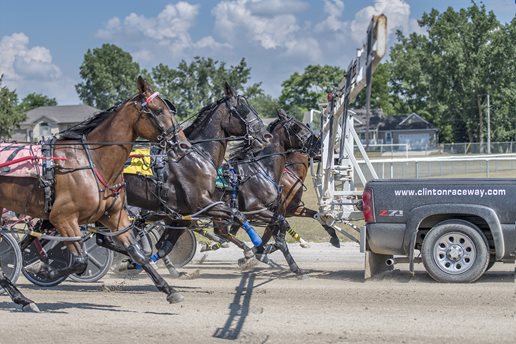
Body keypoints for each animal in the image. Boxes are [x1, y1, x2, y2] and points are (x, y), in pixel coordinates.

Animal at [0, 76, 188, 310]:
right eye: (158, 110)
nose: (182, 143)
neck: (92, 163)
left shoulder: (115, 216)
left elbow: (138, 253)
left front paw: (170, 290)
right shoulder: (62, 218)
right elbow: (80, 261)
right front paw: (43, 269)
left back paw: (21, 297)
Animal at [123, 82, 272, 268]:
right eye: (243, 109)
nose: (266, 136)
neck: (197, 156)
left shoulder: (182, 214)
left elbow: (164, 246)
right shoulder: (200, 203)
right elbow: (237, 214)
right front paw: (256, 246)